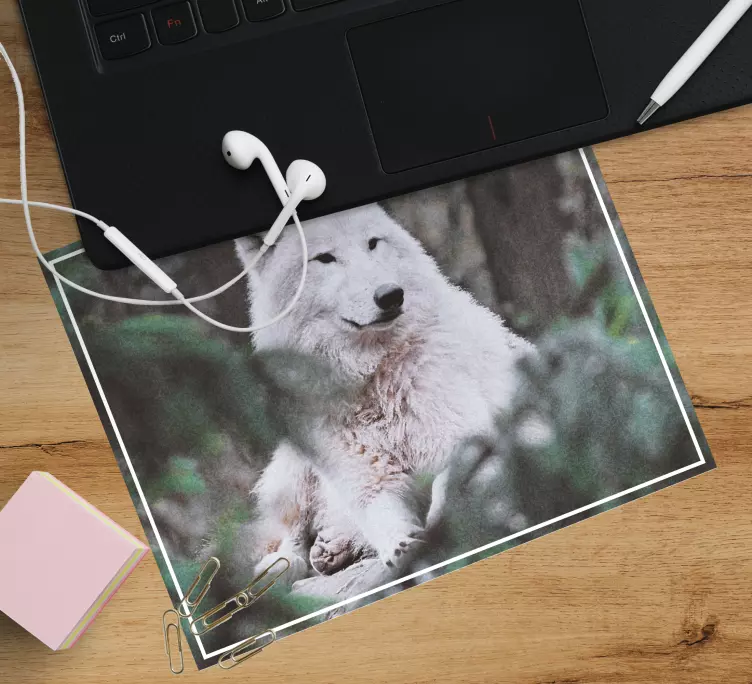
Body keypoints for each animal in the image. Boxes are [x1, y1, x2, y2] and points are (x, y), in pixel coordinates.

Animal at [236, 203, 534, 584]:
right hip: (298, 464)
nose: (390, 294)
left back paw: (334, 550)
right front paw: (406, 549)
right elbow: (384, 520)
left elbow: (447, 489)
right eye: (325, 258)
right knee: (293, 537)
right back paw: (288, 566)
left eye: (373, 243)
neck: (374, 378)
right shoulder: (367, 480)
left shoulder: (468, 436)